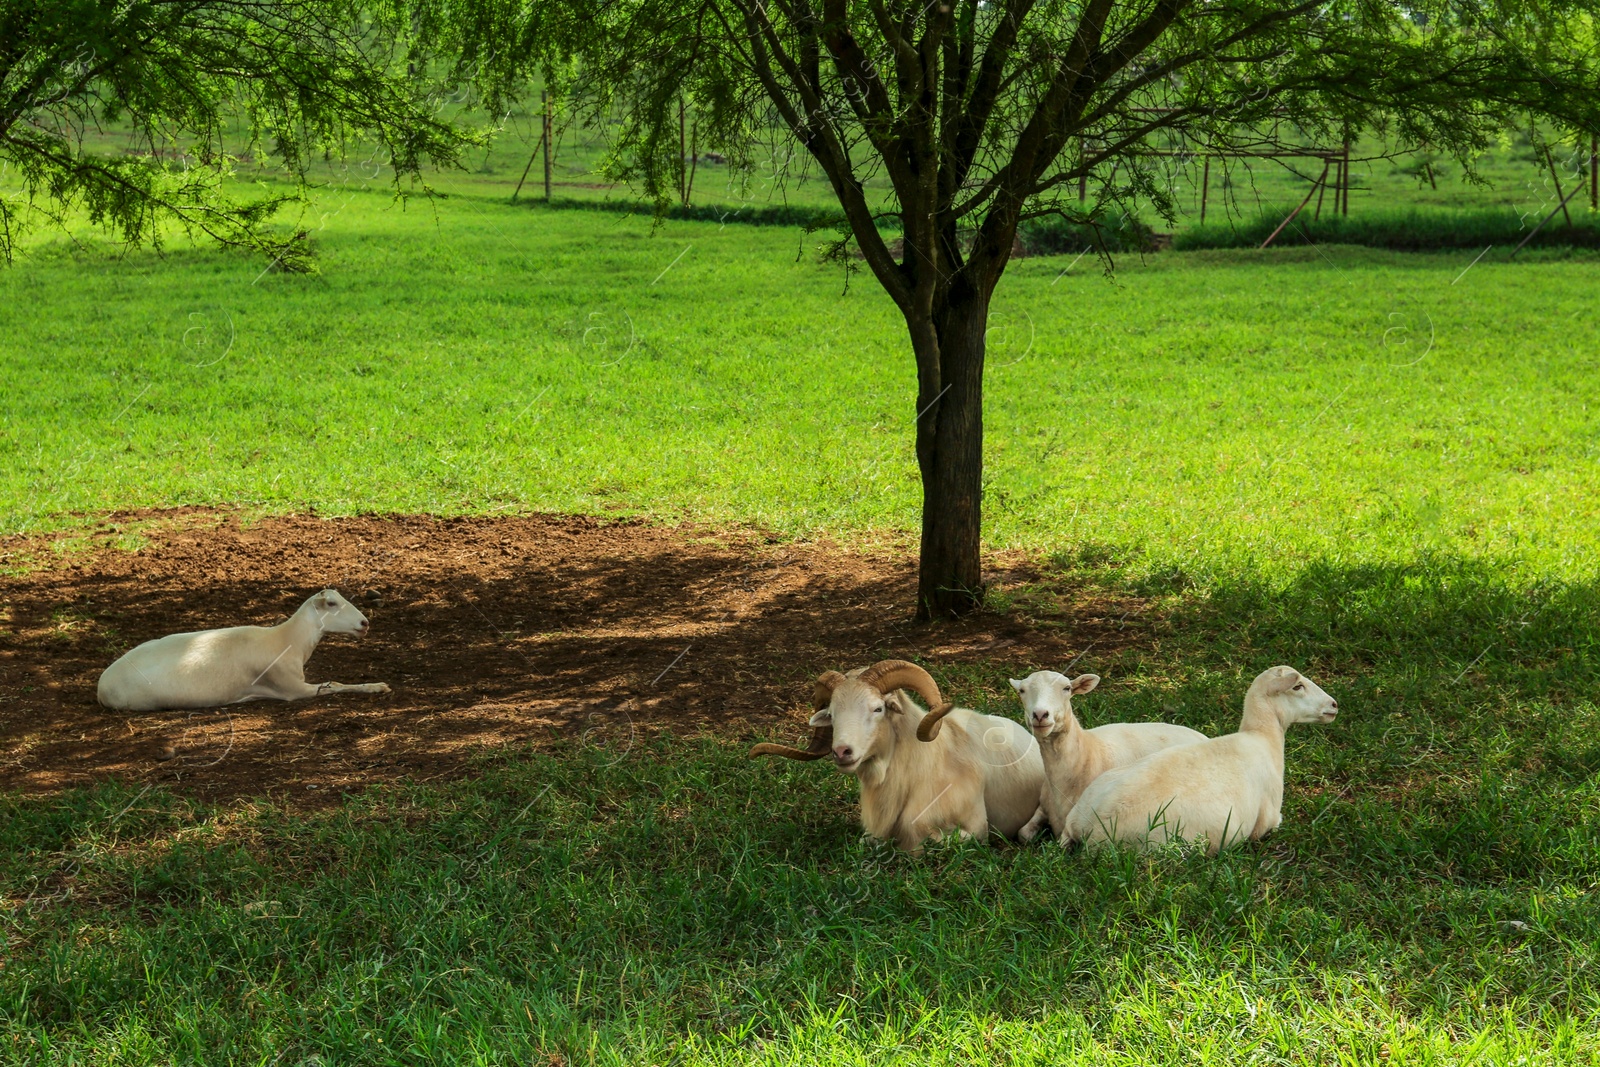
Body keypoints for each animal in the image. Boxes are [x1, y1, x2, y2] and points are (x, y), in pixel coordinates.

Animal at [97, 588, 390, 713]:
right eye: (331, 603)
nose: (364, 623)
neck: (287, 639)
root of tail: (101, 686)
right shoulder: (293, 688)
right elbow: (336, 685)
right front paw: (378, 686)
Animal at [1004, 671, 1203, 844]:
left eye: (1067, 688)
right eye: (1022, 691)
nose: (1040, 715)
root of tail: (1201, 735)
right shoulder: (1043, 807)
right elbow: (1023, 834)